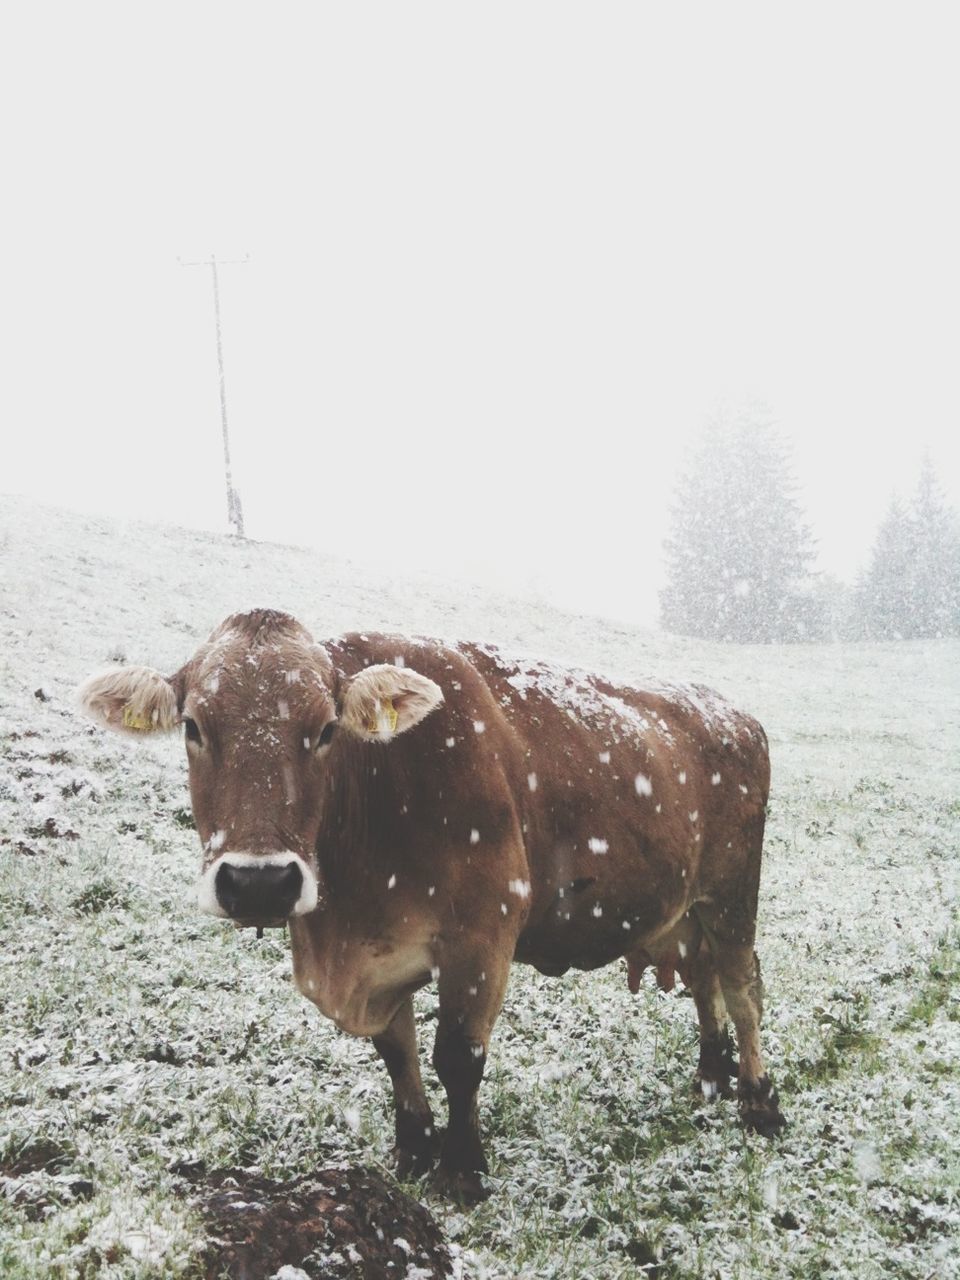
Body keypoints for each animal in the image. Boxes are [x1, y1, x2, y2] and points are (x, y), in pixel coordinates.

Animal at [79, 606, 783, 1198]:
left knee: (742, 984)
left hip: (731, 893)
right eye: (194, 726)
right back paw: (711, 1077)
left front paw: (462, 1169)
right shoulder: (380, 957)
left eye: (325, 729)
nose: (259, 882)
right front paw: (413, 1153)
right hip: (684, 909)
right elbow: (398, 1054)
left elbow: (457, 1058)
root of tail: (730, 711)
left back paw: (758, 1099)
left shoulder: (484, 935)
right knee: (704, 982)